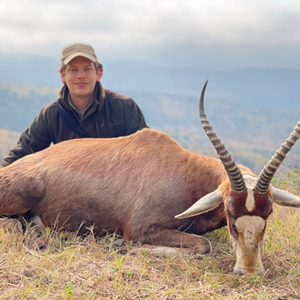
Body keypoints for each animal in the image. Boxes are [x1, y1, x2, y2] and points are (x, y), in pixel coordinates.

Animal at [0, 81, 298, 276]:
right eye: (230, 215)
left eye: (268, 214)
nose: (249, 271)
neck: (186, 173)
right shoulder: (142, 228)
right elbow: (204, 245)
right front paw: (122, 246)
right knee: (13, 225)